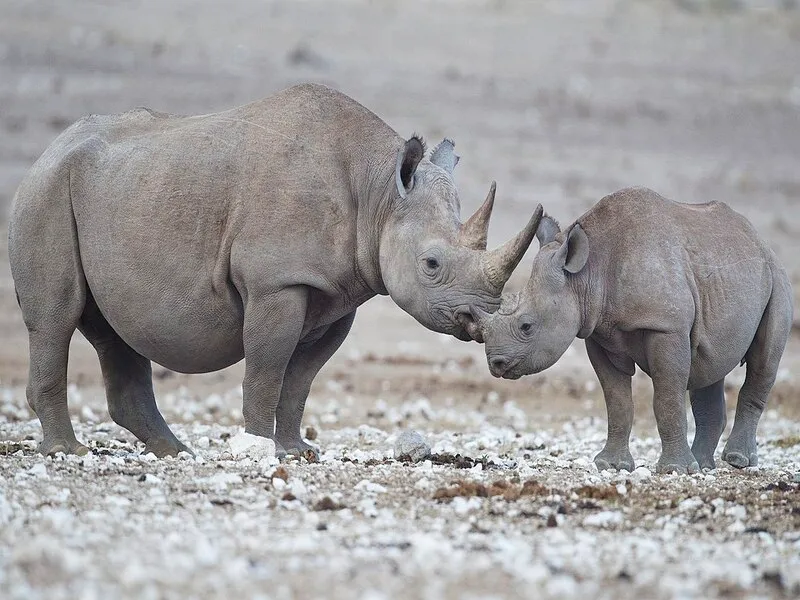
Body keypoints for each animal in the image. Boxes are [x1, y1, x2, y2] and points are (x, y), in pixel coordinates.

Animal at [7, 83, 544, 460]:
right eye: (431, 264)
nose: (479, 320)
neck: (378, 194)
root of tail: (49, 150)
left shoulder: (335, 294)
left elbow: (301, 378)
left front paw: (298, 451)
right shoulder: (276, 281)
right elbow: (268, 367)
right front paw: (263, 448)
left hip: (112, 189)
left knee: (117, 330)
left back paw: (175, 453)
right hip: (46, 191)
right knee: (55, 318)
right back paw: (68, 451)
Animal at [476, 188, 792, 474]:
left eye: (526, 326)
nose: (495, 364)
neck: (586, 274)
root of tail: (760, 241)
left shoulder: (666, 327)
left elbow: (666, 398)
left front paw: (674, 470)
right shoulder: (598, 333)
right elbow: (617, 402)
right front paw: (611, 465)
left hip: (777, 279)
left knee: (763, 362)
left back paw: (736, 461)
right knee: (709, 368)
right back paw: (702, 466)